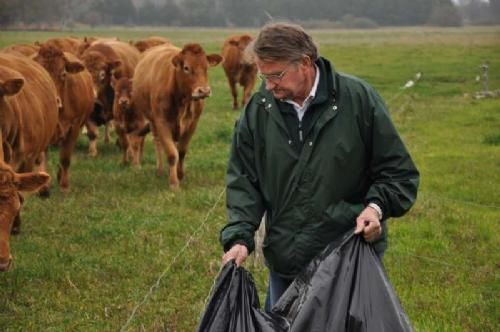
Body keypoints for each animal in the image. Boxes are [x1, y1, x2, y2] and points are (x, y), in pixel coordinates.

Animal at [34, 44, 95, 192]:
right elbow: (42, 157)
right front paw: (43, 187)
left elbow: (65, 158)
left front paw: (64, 185)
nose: (54, 101)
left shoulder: (74, 127)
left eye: (63, 74)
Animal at [133, 43, 221, 189]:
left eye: (206, 67)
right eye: (186, 68)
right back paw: (160, 169)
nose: (204, 91)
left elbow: (181, 151)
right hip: (152, 121)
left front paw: (179, 174)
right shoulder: (161, 122)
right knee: (157, 141)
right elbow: (172, 153)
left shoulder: (193, 123)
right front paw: (174, 183)